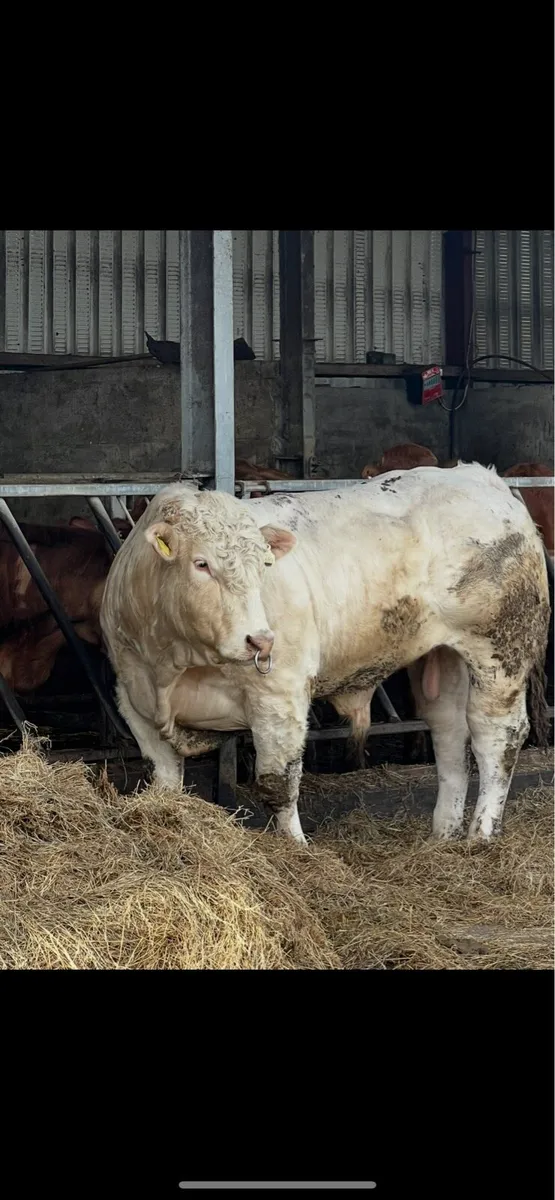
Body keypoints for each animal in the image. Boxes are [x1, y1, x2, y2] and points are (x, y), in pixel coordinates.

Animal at [100, 464, 549, 846]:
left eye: (265, 565)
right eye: (201, 564)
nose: (260, 640)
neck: (172, 663)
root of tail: (480, 477)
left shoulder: (279, 694)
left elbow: (277, 783)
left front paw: (296, 848)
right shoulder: (132, 698)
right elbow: (165, 777)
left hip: (500, 648)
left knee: (497, 735)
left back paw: (481, 835)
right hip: (442, 655)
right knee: (449, 731)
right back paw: (442, 837)